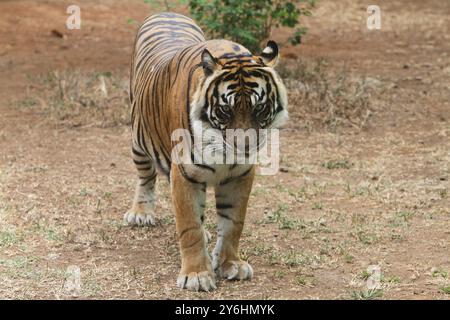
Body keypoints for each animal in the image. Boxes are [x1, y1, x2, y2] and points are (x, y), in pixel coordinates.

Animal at [124, 12, 288, 292]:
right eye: (225, 110)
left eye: (259, 108)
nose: (244, 146)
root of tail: (168, 13)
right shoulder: (185, 174)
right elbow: (189, 226)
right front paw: (197, 275)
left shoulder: (239, 176)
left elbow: (233, 224)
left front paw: (230, 264)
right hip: (139, 139)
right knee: (146, 177)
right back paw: (140, 214)